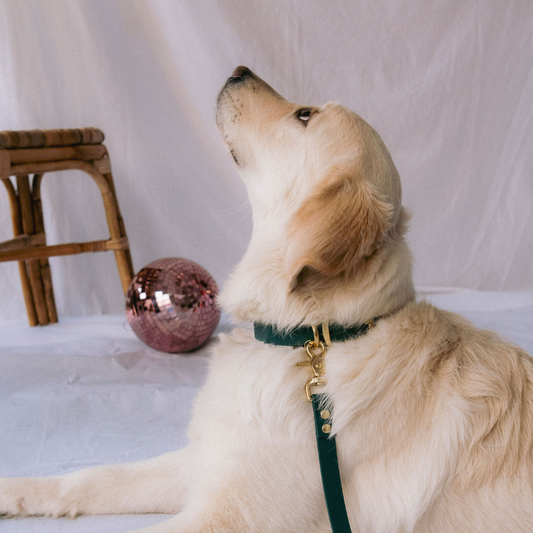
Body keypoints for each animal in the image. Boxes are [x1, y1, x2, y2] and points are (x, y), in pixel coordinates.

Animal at [1, 67, 532, 532]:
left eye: (304, 114)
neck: (313, 335)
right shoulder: (212, 459)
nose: (239, 69)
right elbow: (97, 476)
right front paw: (18, 490)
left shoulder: (234, 516)